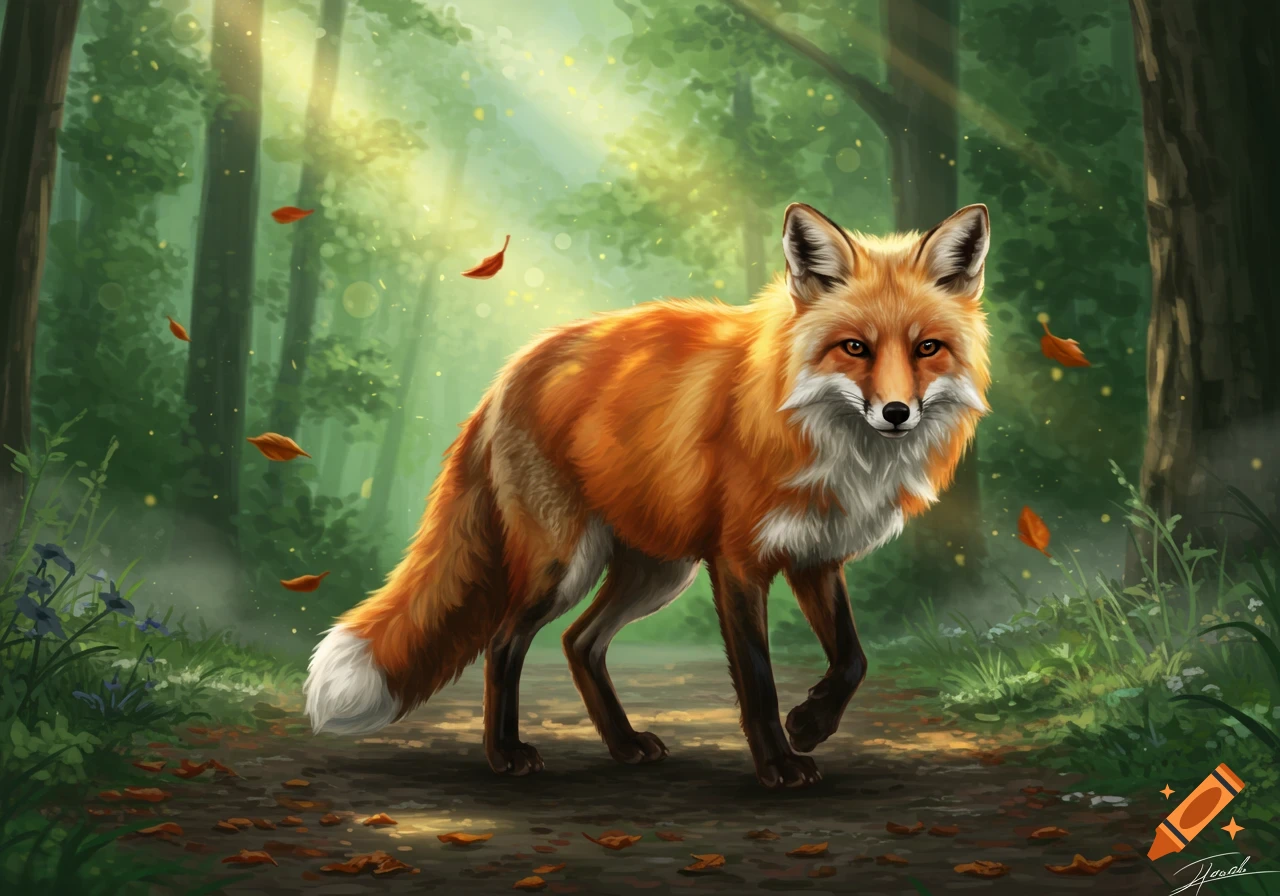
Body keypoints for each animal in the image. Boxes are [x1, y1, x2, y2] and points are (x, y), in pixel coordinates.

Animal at [305, 201, 992, 789]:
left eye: (927, 348)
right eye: (855, 347)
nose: (897, 413)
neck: (822, 439)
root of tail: (509, 372)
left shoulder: (816, 555)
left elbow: (853, 659)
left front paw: (811, 723)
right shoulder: (738, 563)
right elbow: (758, 680)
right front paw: (779, 762)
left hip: (658, 571)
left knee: (578, 642)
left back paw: (624, 744)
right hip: (565, 563)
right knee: (504, 642)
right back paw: (505, 754)